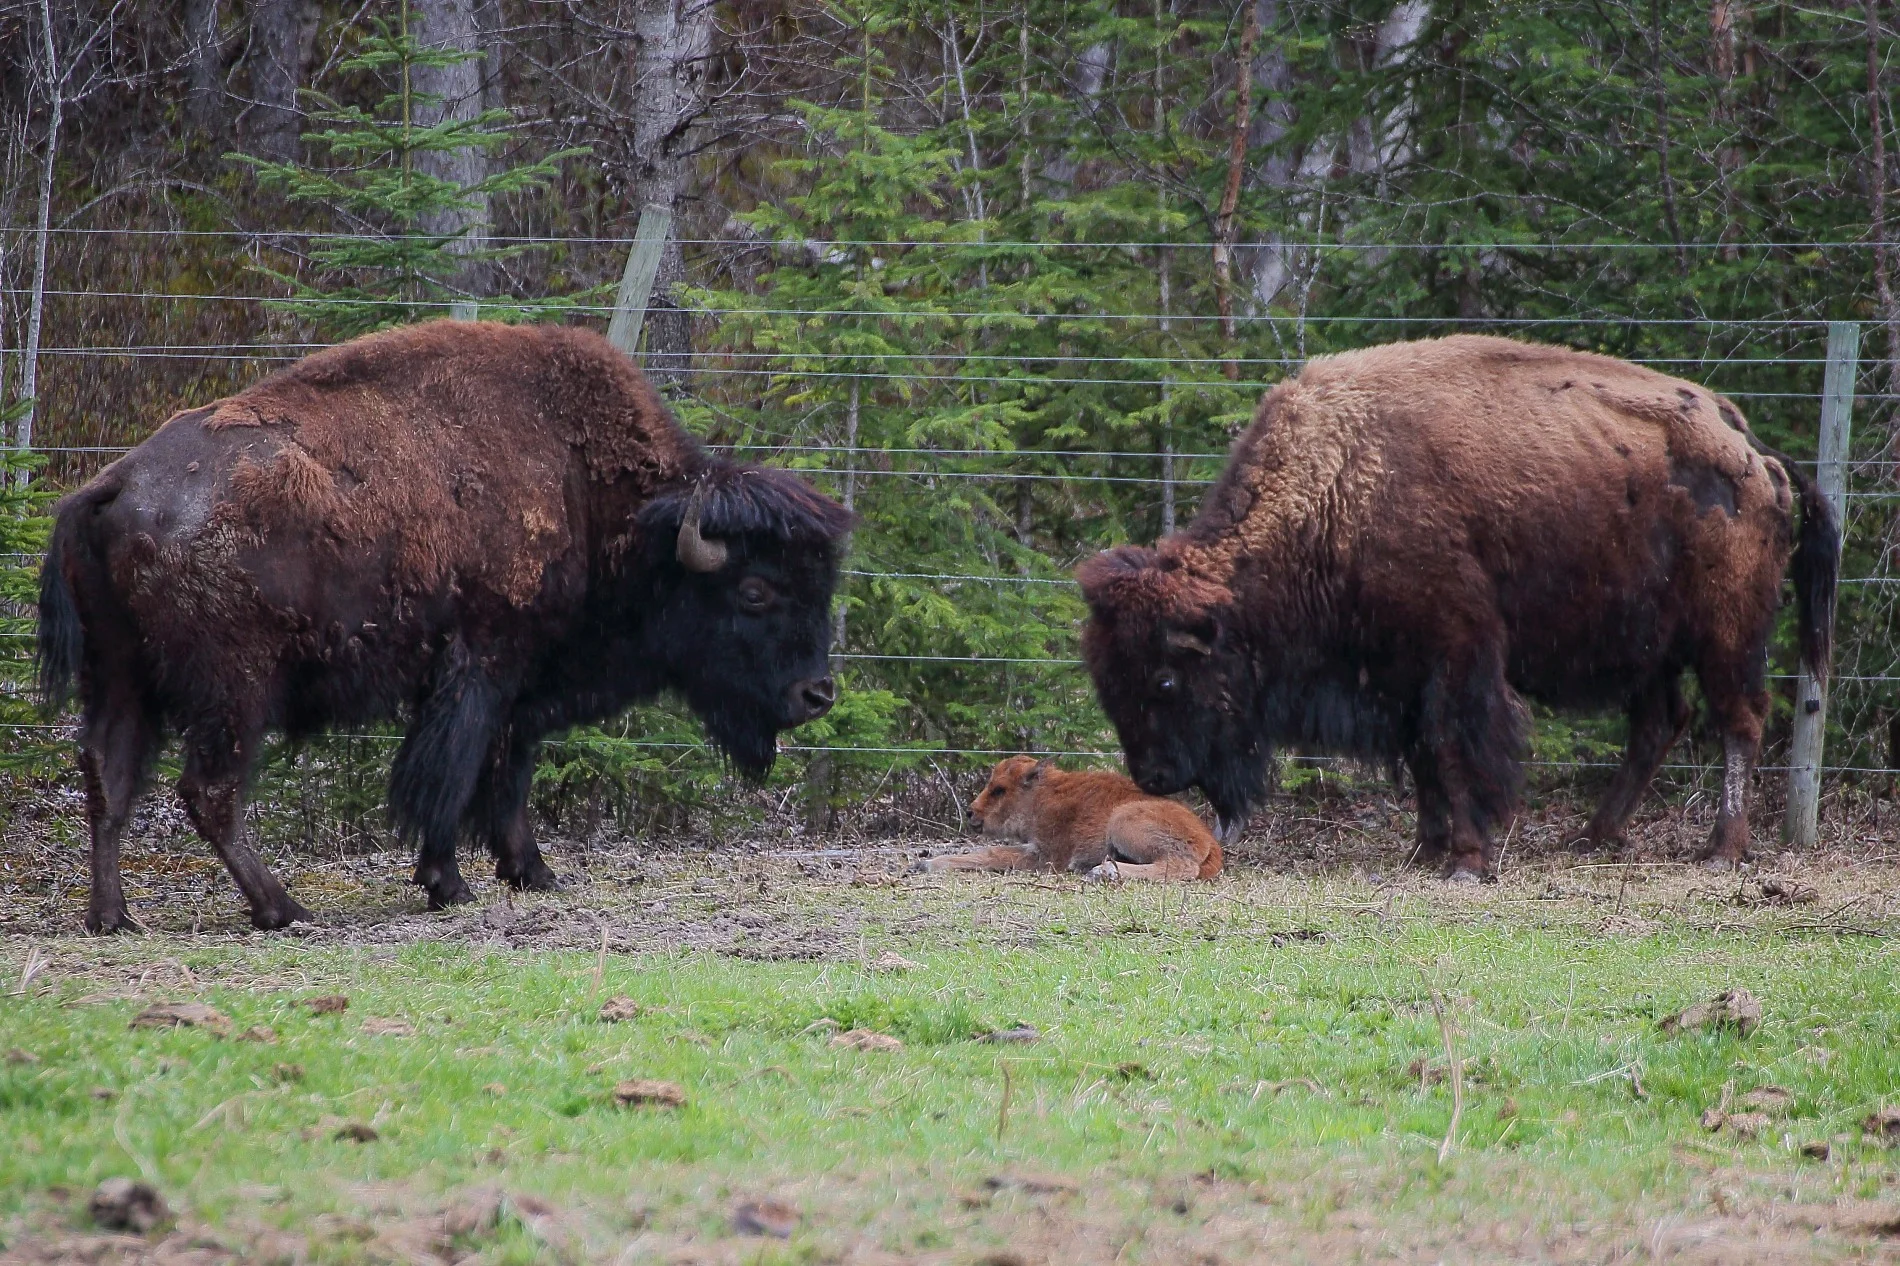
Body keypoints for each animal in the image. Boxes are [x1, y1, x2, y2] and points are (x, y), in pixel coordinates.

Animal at [38, 320, 851, 931]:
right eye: (755, 590)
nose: (818, 695)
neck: (593, 495)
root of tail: (113, 485)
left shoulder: (519, 686)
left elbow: (506, 772)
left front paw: (533, 872)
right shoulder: (482, 667)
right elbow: (455, 773)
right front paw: (449, 882)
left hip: (121, 675)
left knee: (109, 778)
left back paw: (112, 917)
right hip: (232, 690)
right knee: (209, 790)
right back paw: (284, 908)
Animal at [1078, 335, 1835, 880]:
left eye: (1165, 677)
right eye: (1106, 680)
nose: (1154, 776)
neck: (1338, 490)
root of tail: (1751, 449)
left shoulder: (1457, 652)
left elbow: (1451, 746)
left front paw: (1467, 860)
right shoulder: (1398, 671)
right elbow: (1420, 755)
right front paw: (1429, 848)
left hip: (1727, 634)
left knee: (1739, 721)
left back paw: (1721, 849)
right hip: (1648, 647)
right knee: (1659, 723)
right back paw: (1591, 836)